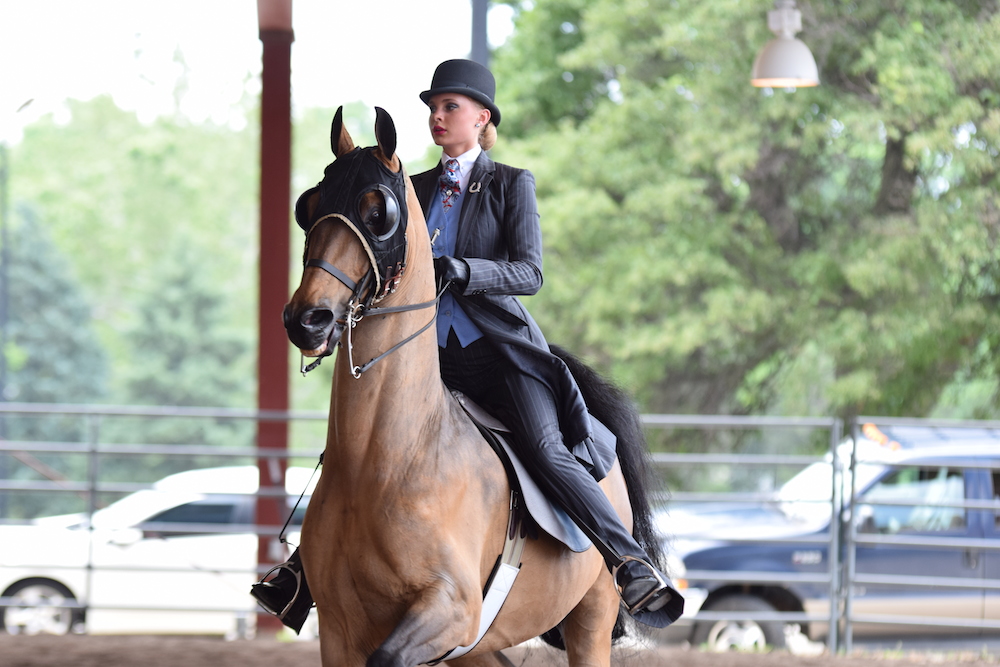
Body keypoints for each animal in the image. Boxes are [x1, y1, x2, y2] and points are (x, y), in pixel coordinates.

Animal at [282, 107, 668, 667]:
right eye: (308, 207)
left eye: (378, 213)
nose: (308, 320)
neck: (379, 462)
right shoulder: (337, 631)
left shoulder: (449, 609)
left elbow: (390, 657)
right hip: (480, 647)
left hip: (590, 617)